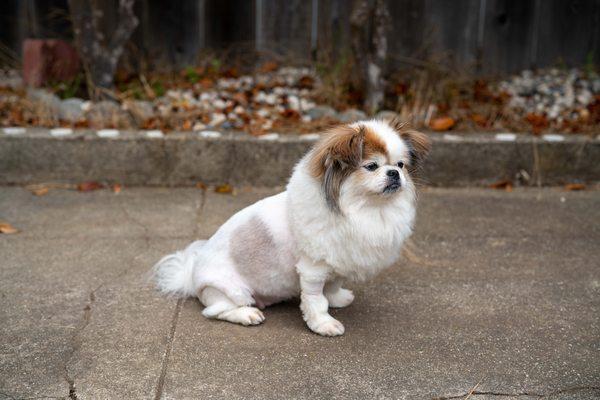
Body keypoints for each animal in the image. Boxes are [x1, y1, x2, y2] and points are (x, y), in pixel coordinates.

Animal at [152, 119, 428, 338]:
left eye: (401, 165)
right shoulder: (313, 270)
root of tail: (190, 276)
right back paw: (247, 315)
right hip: (231, 290)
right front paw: (323, 324)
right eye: (371, 166)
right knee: (216, 310)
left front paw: (337, 299)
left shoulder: (338, 257)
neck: (365, 209)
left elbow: (333, 285)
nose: (394, 173)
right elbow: (316, 300)